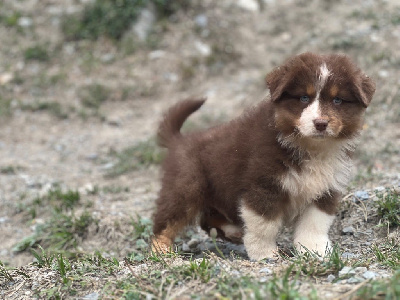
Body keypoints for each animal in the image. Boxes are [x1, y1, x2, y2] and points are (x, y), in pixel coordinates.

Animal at [151, 52, 376, 258]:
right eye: (304, 98)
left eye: (337, 100)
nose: (320, 123)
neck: (311, 147)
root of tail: (179, 140)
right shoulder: (263, 185)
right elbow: (264, 225)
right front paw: (265, 254)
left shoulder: (326, 188)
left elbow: (315, 222)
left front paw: (315, 250)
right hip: (186, 187)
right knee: (166, 222)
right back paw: (162, 251)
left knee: (207, 219)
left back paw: (234, 231)